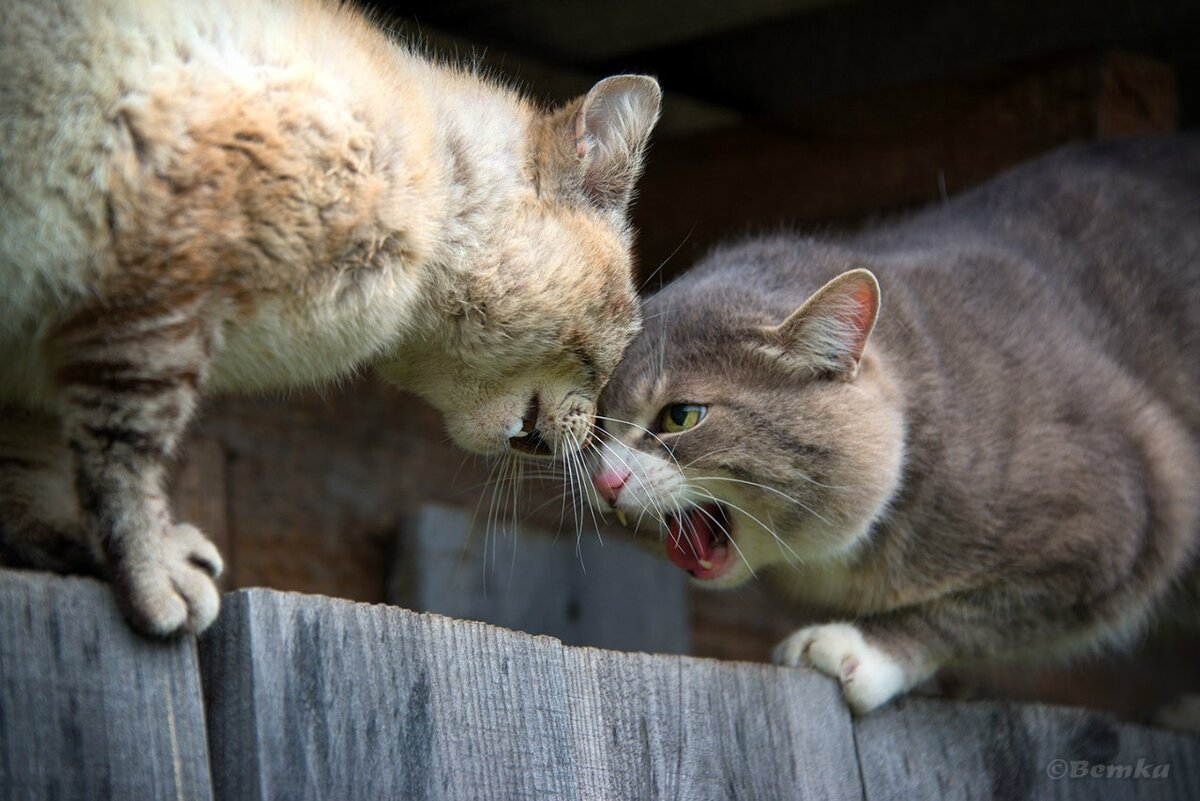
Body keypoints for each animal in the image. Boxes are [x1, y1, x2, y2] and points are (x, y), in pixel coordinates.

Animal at [0, 1, 662, 637]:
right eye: (621, 342)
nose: (589, 436)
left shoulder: (47, 358)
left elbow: (35, 470)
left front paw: (77, 545)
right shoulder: (152, 293)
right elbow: (126, 450)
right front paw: (153, 571)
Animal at [590, 136, 1200, 714]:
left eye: (681, 416)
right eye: (596, 418)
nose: (604, 481)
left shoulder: (1128, 516)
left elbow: (974, 615)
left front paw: (860, 648)